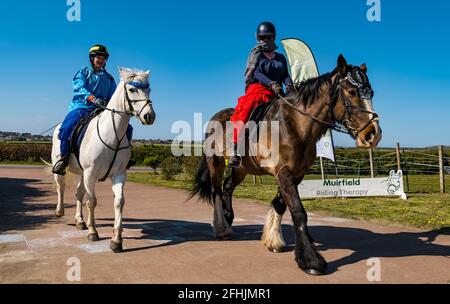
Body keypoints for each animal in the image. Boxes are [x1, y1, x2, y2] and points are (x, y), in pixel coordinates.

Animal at [50, 67, 156, 253]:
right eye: (131, 89)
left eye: (148, 89)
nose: (149, 116)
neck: (112, 135)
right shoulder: (91, 173)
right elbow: (92, 201)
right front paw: (93, 232)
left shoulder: (118, 174)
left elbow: (119, 202)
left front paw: (116, 240)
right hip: (65, 169)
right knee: (60, 187)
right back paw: (60, 211)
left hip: (82, 174)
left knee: (79, 193)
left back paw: (80, 221)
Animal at [188, 55, 382, 276]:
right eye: (351, 91)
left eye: (371, 93)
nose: (373, 134)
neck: (296, 123)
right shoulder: (284, 172)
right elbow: (298, 211)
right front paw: (310, 260)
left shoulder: (296, 174)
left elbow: (281, 204)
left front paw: (273, 240)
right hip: (216, 164)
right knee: (217, 192)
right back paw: (222, 228)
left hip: (242, 168)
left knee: (228, 188)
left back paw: (229, 218)